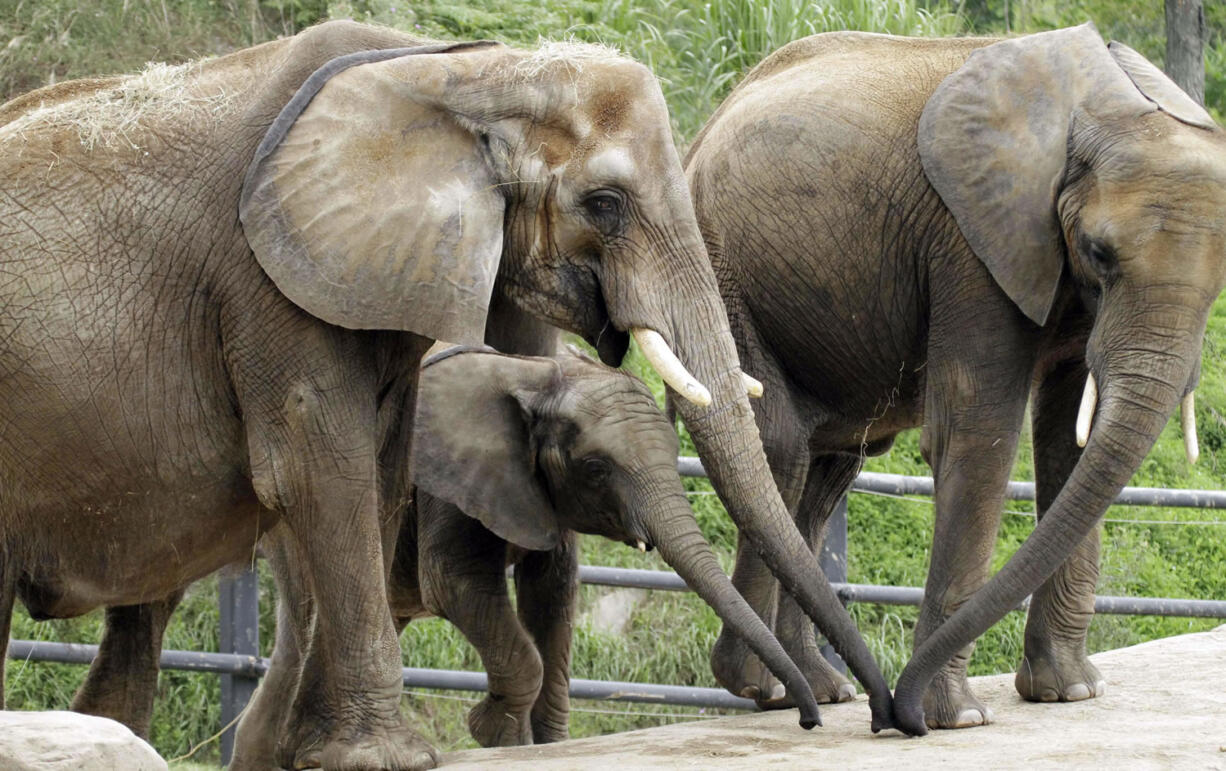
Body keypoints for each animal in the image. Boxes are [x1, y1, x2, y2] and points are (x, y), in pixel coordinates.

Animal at [0, 19, 897, 769]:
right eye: (605, 204)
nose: (855, 713)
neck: (460, 73)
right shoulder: (263, 278)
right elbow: (317, 472)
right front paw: (387, 756)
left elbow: (379, 473)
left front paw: (333, 752)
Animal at [686, 24, 1226, 735]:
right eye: (1100, 253)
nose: (898, 716)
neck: (1104, 104)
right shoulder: (972, 243)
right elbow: (976, 434)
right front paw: (960, 720)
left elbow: (1069, 442)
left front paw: (1071, 694)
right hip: (716, 267)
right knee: (780, 448)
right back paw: (769, 687)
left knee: (827, 470)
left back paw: (824, 689)